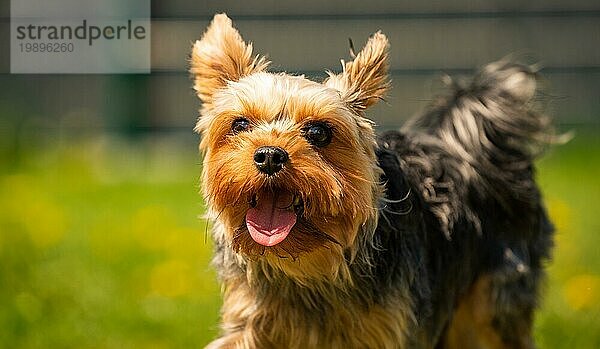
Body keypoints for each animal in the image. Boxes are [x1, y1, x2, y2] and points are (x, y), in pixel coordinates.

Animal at [190, 12, 556, 346]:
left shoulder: (389, 327)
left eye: (319, 132)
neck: (307, 269)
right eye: (239, 124)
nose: (269, 155)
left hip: (496, 295)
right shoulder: (248, 320)